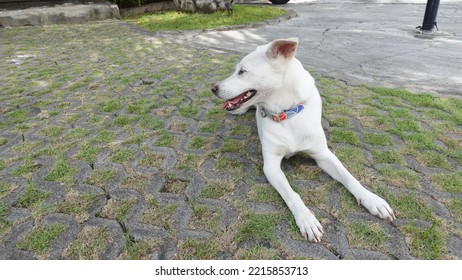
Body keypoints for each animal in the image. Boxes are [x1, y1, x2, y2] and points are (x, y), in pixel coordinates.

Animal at [213, 37, 398, 243]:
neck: (287, 113)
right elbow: (292, 194)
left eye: (242, 71)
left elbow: (349, 178)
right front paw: (306, 219)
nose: (214, 88)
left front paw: (372, 199)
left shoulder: (323, 155)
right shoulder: (271, 165)